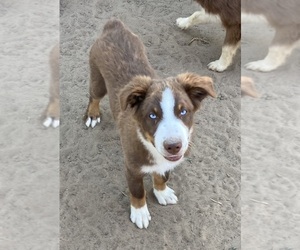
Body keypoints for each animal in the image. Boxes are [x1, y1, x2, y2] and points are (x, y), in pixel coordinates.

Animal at [84, 19, 216, 229]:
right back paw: (92, 114)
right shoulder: (132, 167)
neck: (150, 146)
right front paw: (139, 212)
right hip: (97, 78)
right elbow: (137, 191)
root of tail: (114, 25)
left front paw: (162, 192)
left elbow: (162, 176)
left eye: (183, 111)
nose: (173, 146)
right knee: (93, 96)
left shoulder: (167, 163)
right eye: (152, 115)